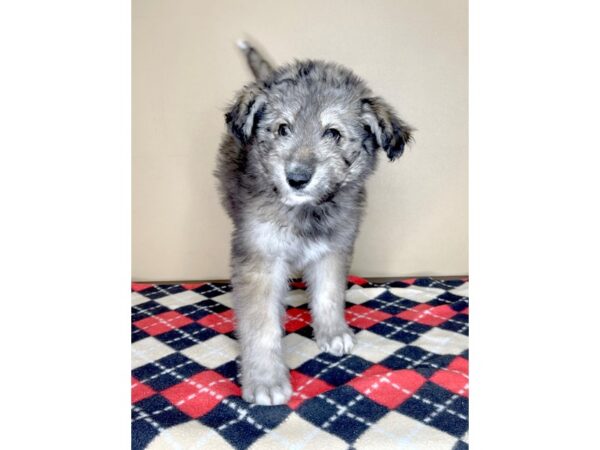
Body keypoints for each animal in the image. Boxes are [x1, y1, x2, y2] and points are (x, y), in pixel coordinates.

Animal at [214, 42, 412, 406]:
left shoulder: (334, 249)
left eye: (333, 133)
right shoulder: (260, 259)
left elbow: (329, 295)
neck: (305, 212)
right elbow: (261, 325)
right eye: (282, 129)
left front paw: (333, 332)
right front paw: (265, 379)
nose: (297, 178)